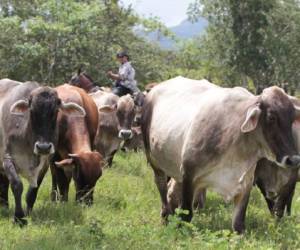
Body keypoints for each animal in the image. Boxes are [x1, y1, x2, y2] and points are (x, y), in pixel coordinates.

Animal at [142, 76, 300, 232]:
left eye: (292, 119)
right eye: (271, 117)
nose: (293, 160)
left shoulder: (246, 184)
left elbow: (239, 224)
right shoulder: (189, 174)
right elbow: (186, 216)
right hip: (154, 161)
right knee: (162, 186)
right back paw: (165, 215)